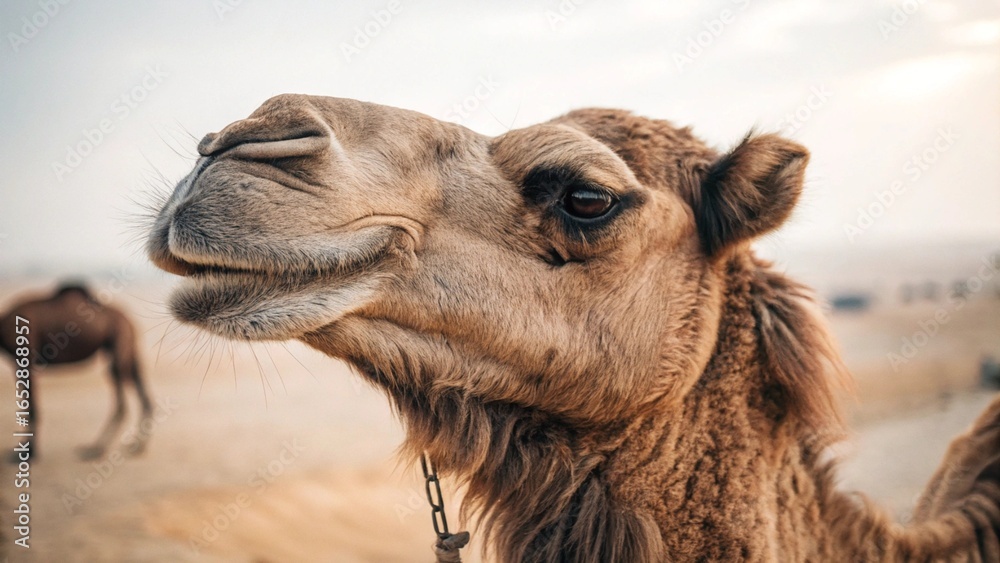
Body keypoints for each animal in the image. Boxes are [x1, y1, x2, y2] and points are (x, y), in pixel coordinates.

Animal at [0, 284, 153, 460]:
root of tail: (130, 321)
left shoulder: (26, 361)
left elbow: (31, 408)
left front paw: (30, 453)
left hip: (119, 344)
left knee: (122, 402)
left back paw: (96, 449)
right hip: (128, 350)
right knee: (144, 396)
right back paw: (137, 445)